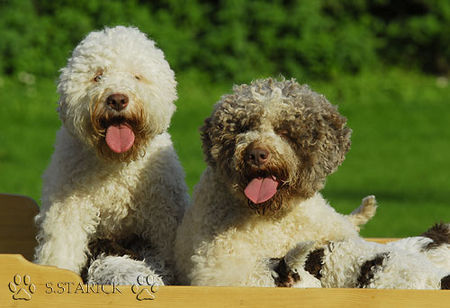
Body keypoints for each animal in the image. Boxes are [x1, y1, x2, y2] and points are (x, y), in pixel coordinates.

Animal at [34, 26, 188, 286]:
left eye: (137, 76)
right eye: (97, 76)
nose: (117, 99)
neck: (116, 165)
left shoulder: (163, 216)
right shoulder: (67, 213)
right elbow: (60, 254)